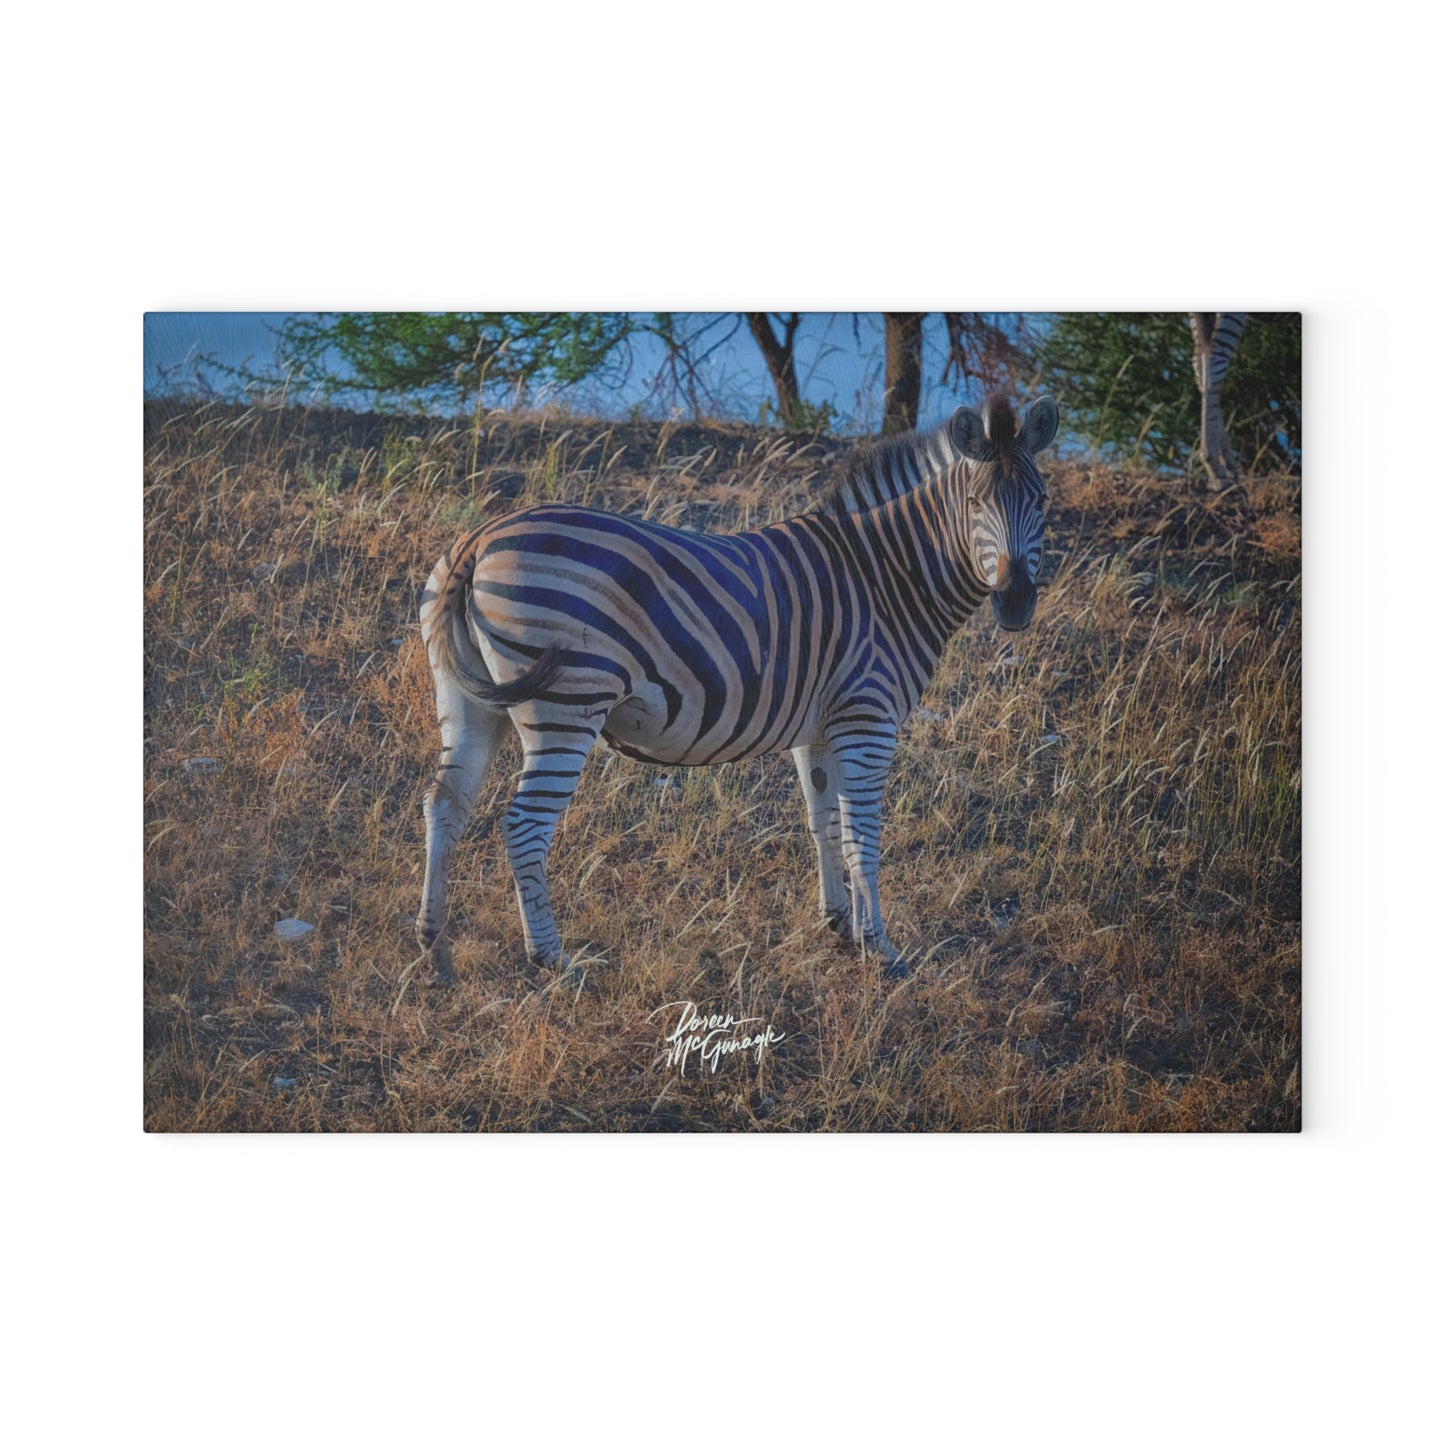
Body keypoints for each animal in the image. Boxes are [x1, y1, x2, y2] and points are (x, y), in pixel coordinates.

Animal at [415, 393, 1059, 984]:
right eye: (975, 504)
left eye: (1042, 502)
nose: (1016, 602)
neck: (887, 579)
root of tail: (479, 539)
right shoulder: (867, 719)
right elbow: (863, 835)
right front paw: (880, 948)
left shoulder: (819, 730)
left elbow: (824, 824)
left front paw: (839, 926)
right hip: (566, 705)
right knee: (523, 827)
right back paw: (552, 959)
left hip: (467, 701)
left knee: (445, 804)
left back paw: (434, 944)